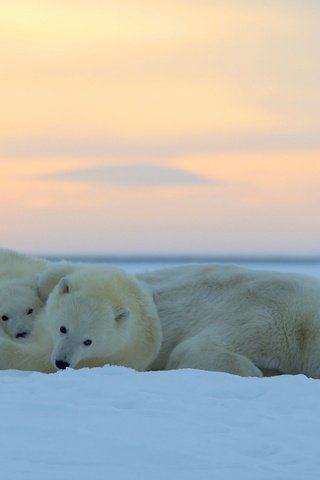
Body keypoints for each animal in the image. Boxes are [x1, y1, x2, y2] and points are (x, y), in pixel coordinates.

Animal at [0, 264, 162, 374]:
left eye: (88, 342)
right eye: (63, 328)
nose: (61, 362)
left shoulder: (100, 358)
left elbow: (32, 359)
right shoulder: (96, 272)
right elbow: (54, 275)